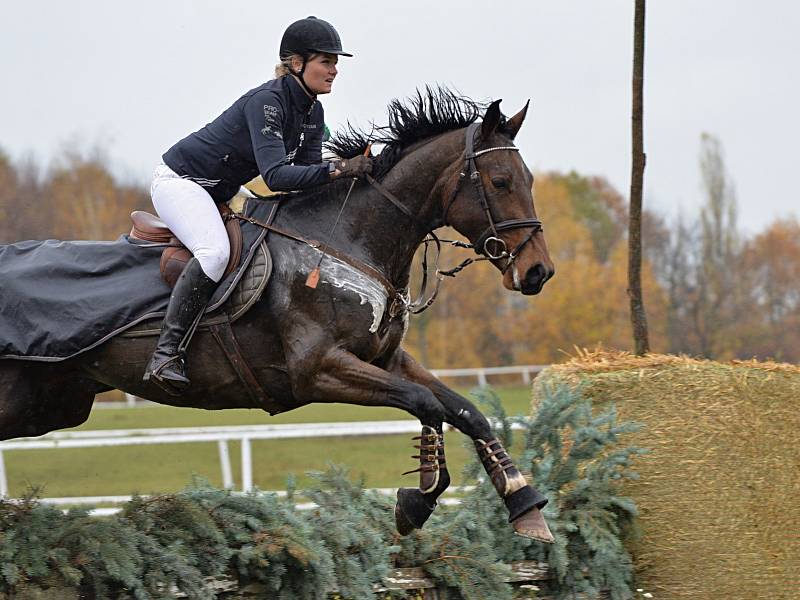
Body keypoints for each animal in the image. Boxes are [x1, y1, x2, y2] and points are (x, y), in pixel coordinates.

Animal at [0, 89, 556, 544]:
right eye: (500, 181)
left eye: (530, 179)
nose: (538, 272)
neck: (346, 240)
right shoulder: (318, 369)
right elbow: (426, 404)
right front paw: (417, 500)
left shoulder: (385, 359)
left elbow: (463, 409)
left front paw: (524, 502)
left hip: (54, 404)